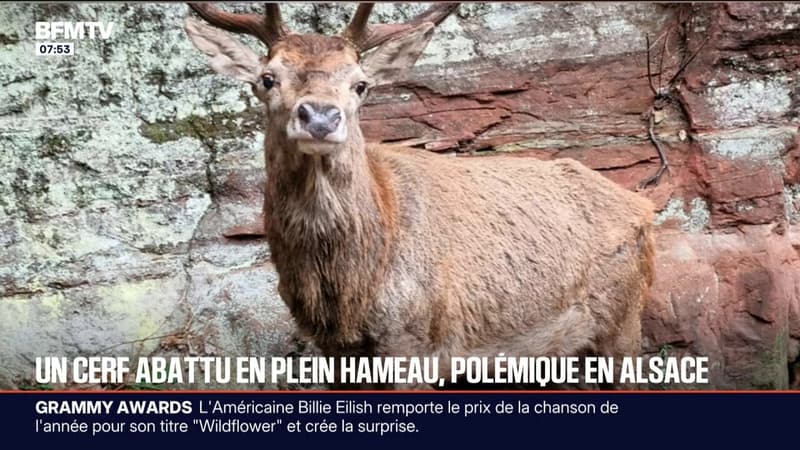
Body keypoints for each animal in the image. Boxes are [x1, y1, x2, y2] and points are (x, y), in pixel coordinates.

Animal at [183, 2, 656, 389]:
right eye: (267, 78)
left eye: (361, 84)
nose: (320, 116)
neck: (349, 290)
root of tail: (644, 207)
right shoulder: (333, 351)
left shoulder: (414, 341)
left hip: (623, 320)